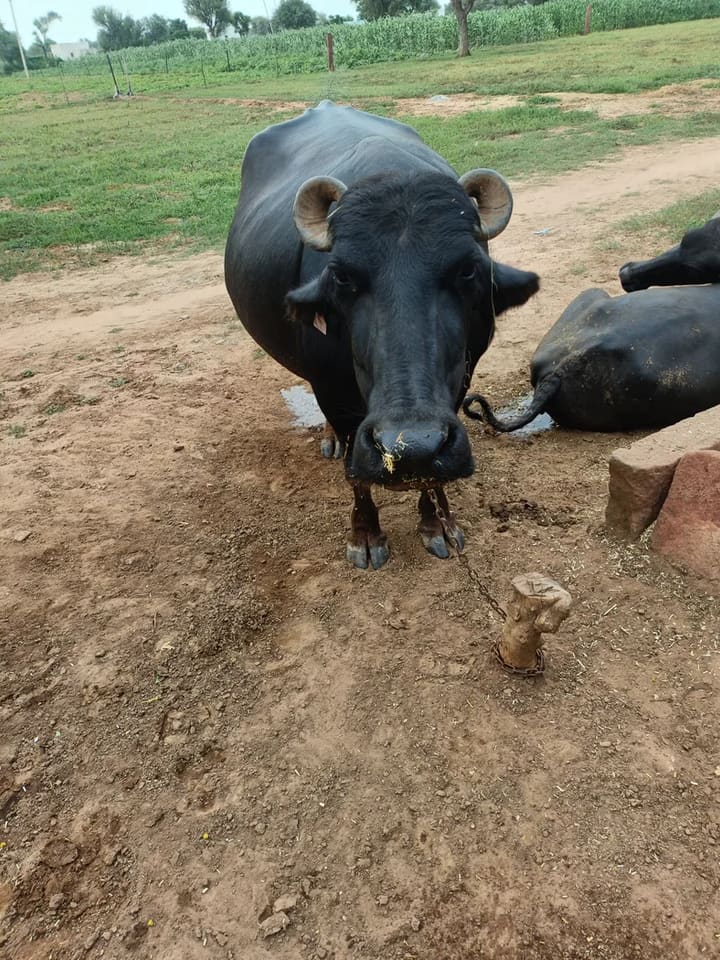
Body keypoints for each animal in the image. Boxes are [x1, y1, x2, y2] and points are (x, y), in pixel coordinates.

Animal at [225, 101, 539, 568]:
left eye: (468, 270)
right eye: (341, 276)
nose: (412, 446)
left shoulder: (459, 382)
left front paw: (438, 524)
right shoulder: (333, 391)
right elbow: (356, 473)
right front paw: (366, 535)